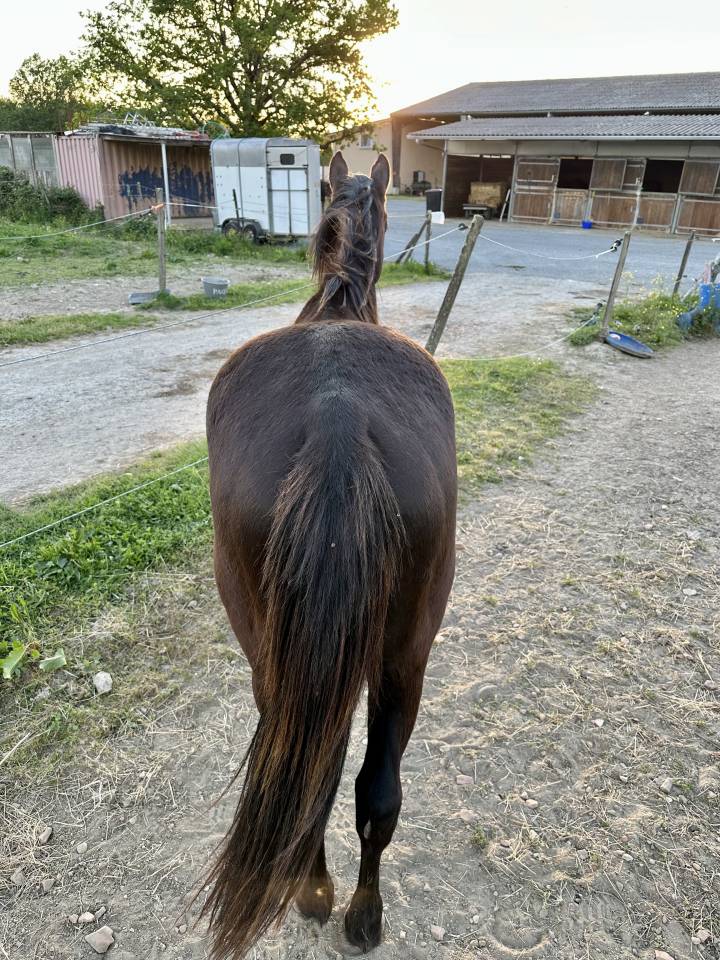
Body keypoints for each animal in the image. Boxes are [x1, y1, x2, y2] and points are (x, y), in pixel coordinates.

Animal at [203, 152, 457, 958]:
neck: (337, 310)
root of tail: (336, 418)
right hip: (401, 656)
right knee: (362, 787)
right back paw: (354, 912)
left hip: (288, 657)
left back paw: (327, 900)